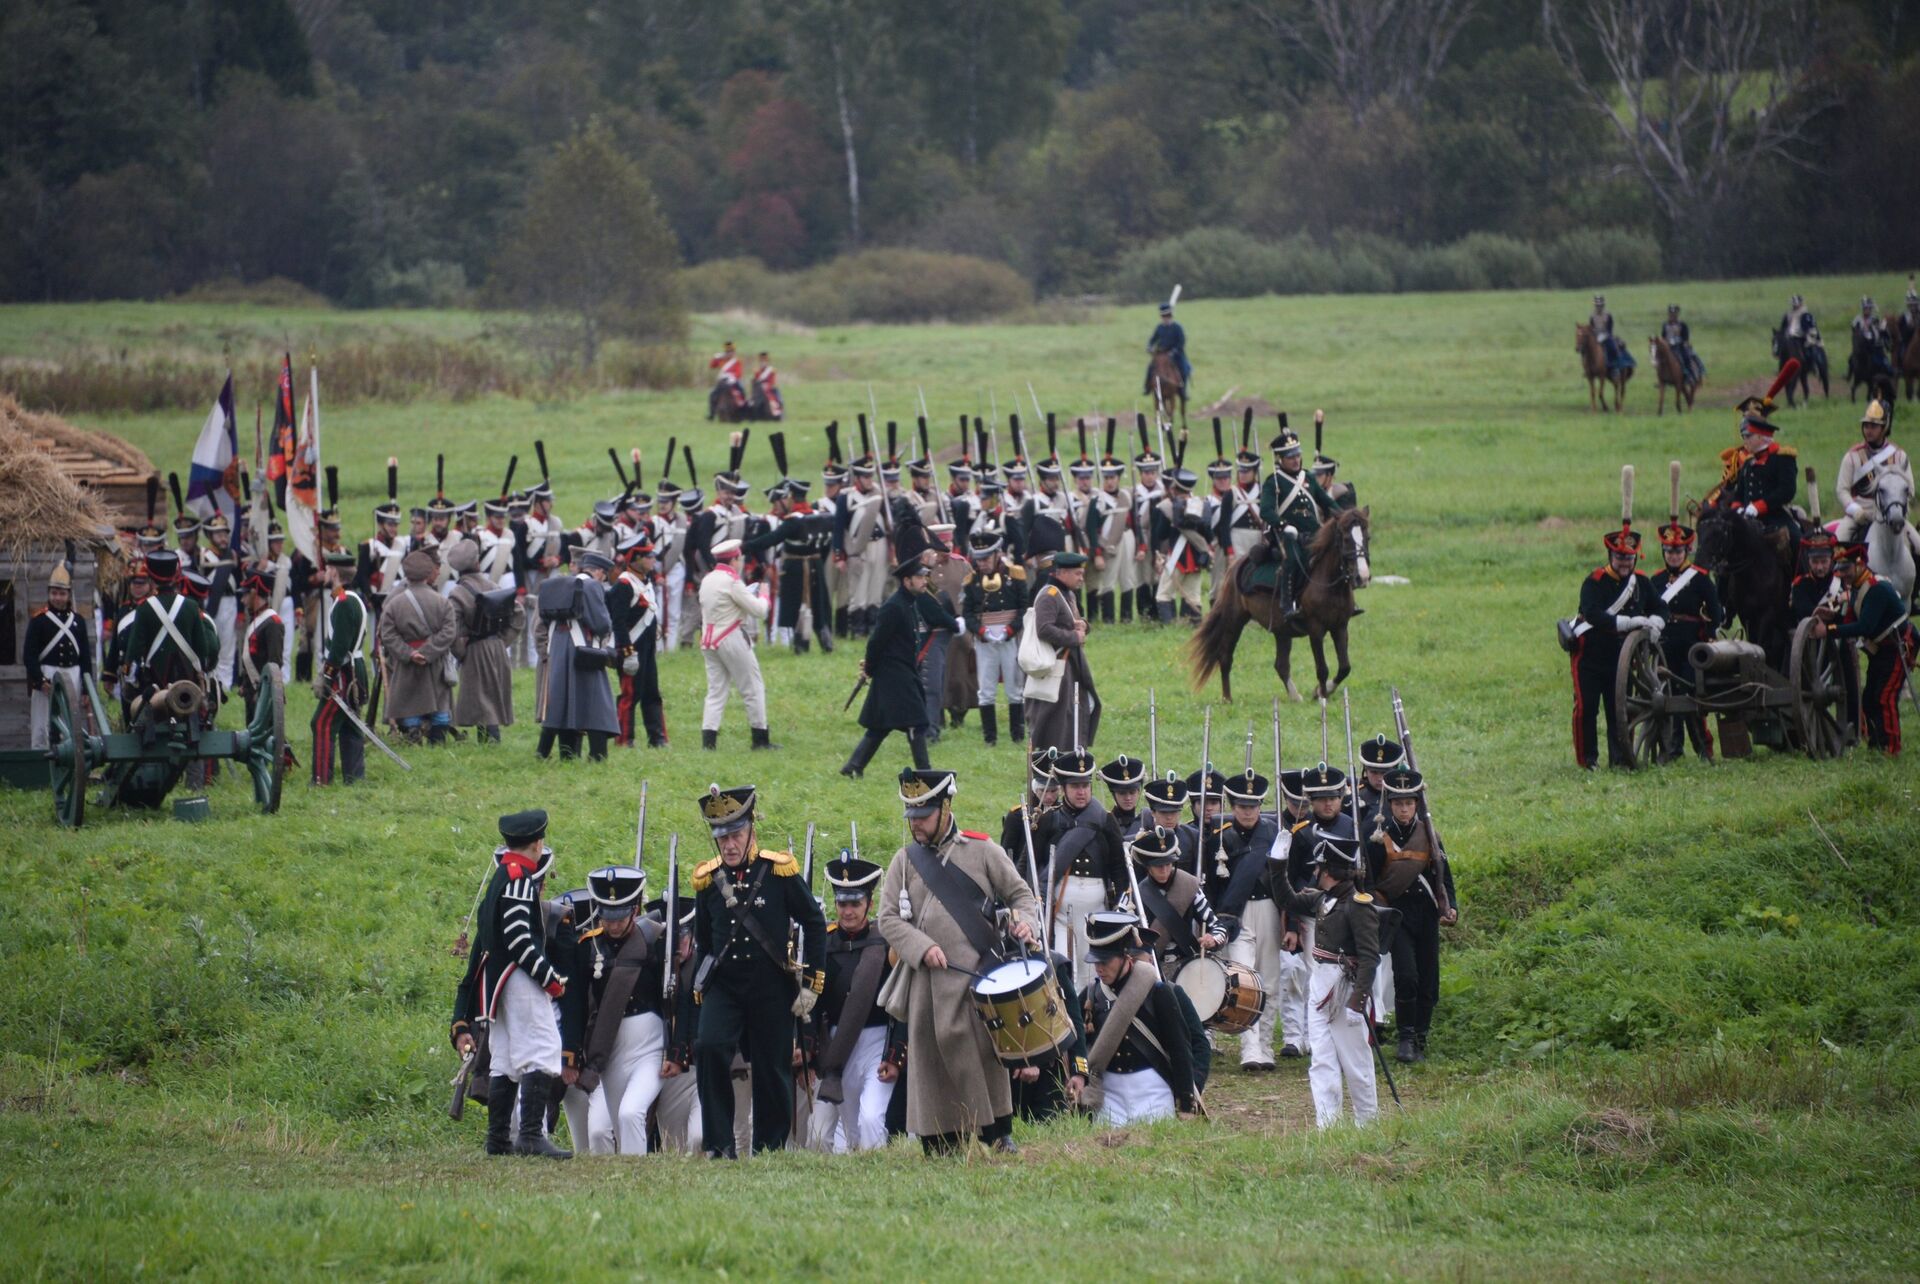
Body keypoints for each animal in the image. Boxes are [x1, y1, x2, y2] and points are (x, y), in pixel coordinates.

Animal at [1182, 506, 1367, 702]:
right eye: (1346, 539)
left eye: (1367, 536)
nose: (1362, 577)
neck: (1329, 583)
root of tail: (1236, 565)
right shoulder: (1316, 629)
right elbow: (1322, 669)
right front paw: (1322, 695)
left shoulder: (1340, 626)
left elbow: (1345, 667)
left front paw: (1321, 691)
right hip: (1234, 620)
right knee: (1225, 657)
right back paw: (1227, 698)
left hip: (1282, 630)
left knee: (1281, 665)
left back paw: (1294, 696)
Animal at [1697, 499, 1797, 667]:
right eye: (1698, 530)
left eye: (1719, 531)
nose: (1700, 562)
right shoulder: (1745, 614)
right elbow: (1754, 643)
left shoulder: (1767, 614)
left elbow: (1762, 645)